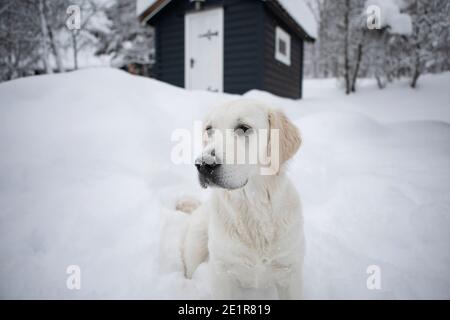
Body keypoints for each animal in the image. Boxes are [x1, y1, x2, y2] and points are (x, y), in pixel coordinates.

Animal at [181, 99, 304, 298]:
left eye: (243, 128)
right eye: (209, 129)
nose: (203, 164)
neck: (253, 208)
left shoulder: (290, 270)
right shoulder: (221, 272)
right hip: (195, 246)